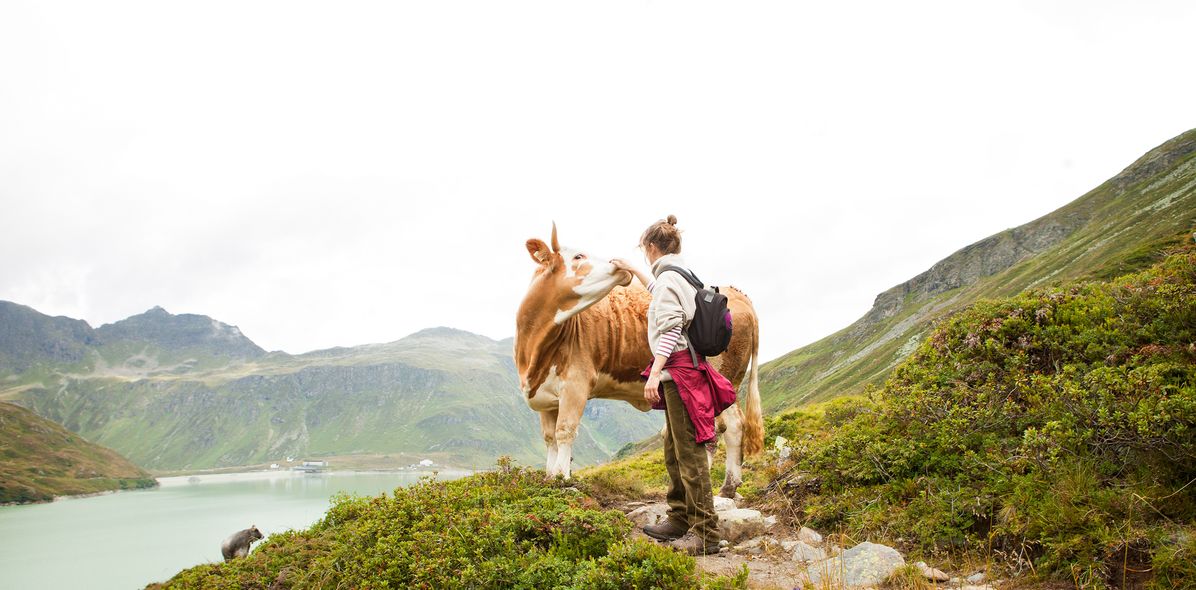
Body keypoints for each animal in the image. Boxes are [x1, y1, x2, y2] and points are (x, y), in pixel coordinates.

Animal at [516, 222, 765, 495]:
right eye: (579, 256)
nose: (617, 265)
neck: (534, 352)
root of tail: (738, 293)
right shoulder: (545, 396)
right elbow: (549, 438)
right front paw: (549, 479)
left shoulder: (576, 384)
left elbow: (564, 432)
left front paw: (562, 480)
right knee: (729, 427)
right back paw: (725, 486)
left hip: (720, 376)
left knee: (722, 427)